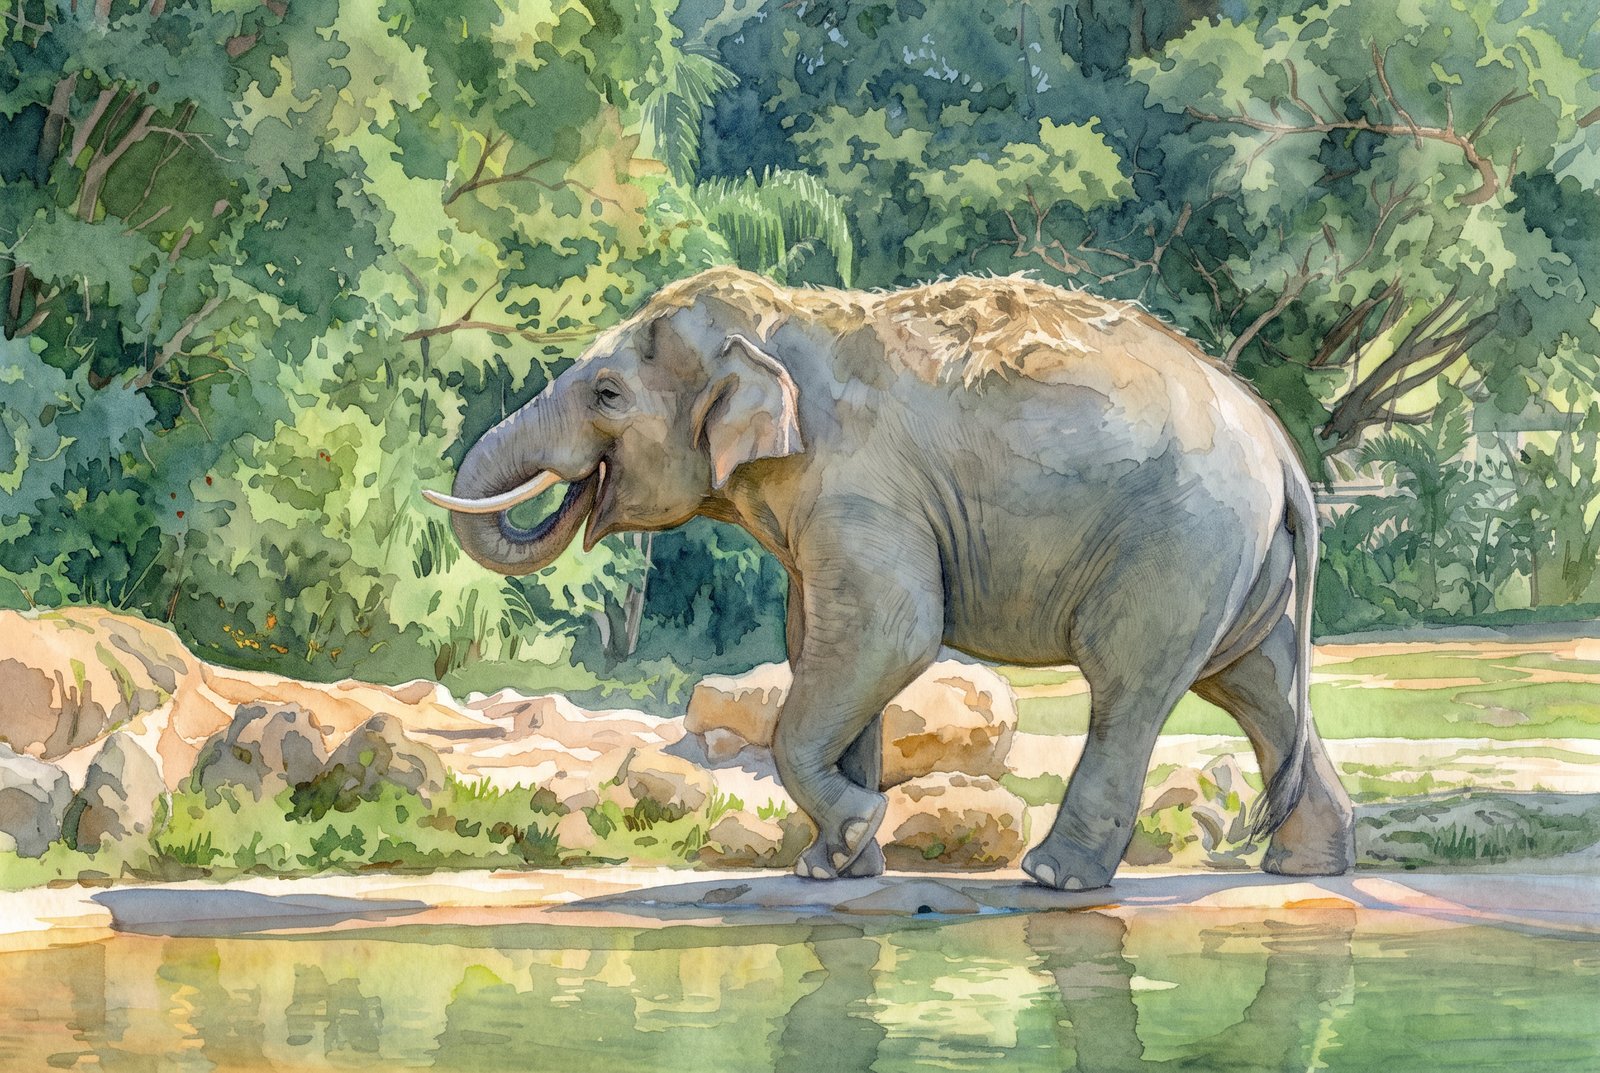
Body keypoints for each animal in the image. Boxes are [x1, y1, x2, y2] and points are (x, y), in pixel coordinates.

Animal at [425, 267, 1356, 891]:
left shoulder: (861, 483)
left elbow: (892, 633)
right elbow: (824, 643)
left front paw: (850, 836)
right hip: (1240, 562)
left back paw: (1053, 877)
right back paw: (1307, 866)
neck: (784, 319)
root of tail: (1280, 446)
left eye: (608, 394)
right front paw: (833, 866)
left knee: (1131, 682)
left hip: (1179, 541)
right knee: (1260, 685)